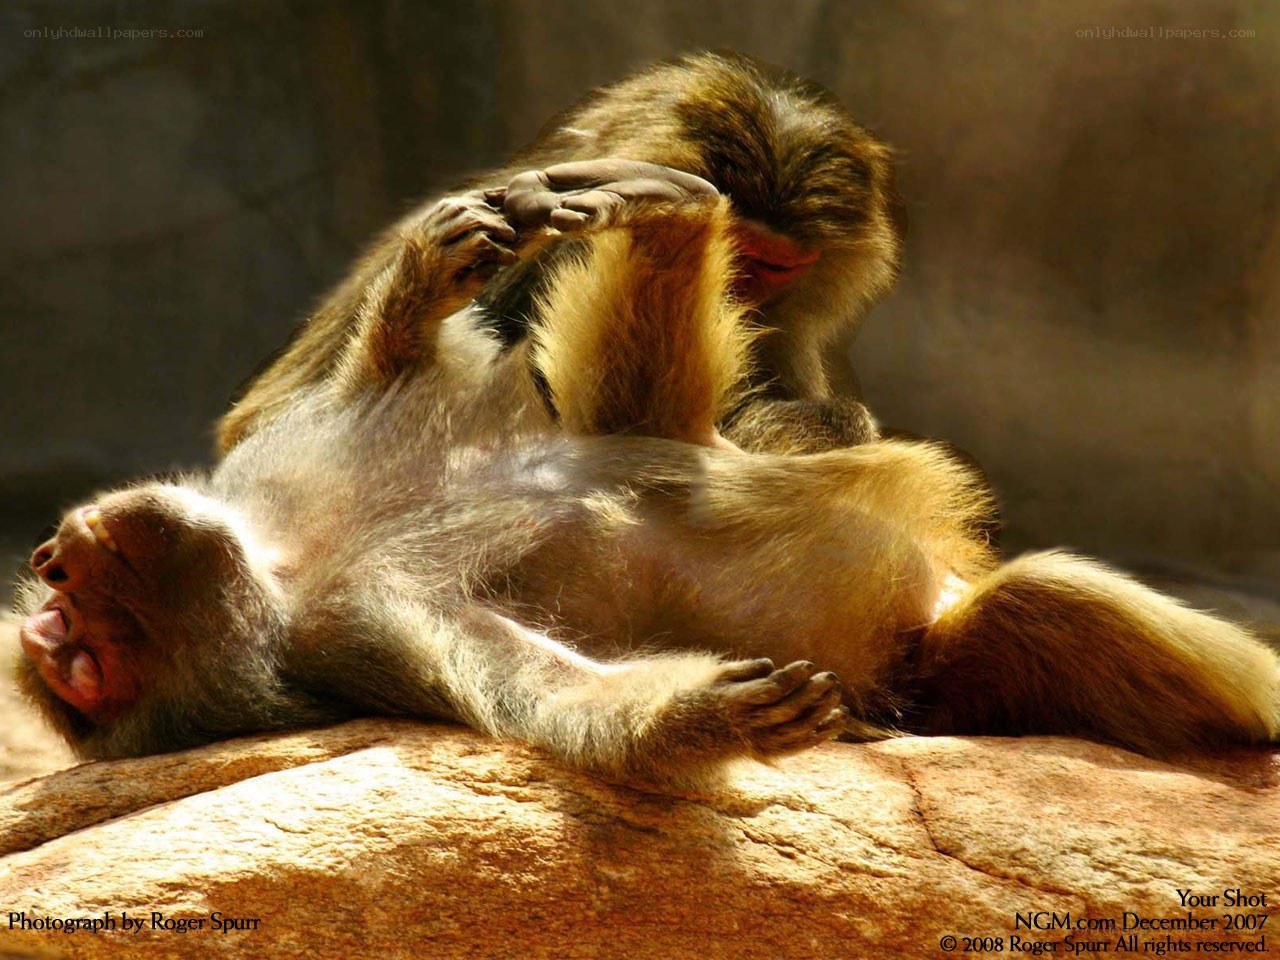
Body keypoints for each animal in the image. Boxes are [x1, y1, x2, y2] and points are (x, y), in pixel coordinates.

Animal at [12, 193, 1280, 790]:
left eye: (66, 590)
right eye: (81, 648)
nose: (60, 551)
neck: (283, 560)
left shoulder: (277, 475)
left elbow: (402, 381)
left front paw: (432, 271)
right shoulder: (348, 629)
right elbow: (535, 685)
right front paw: (695, 719)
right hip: (934, 670)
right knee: (1037, 606)